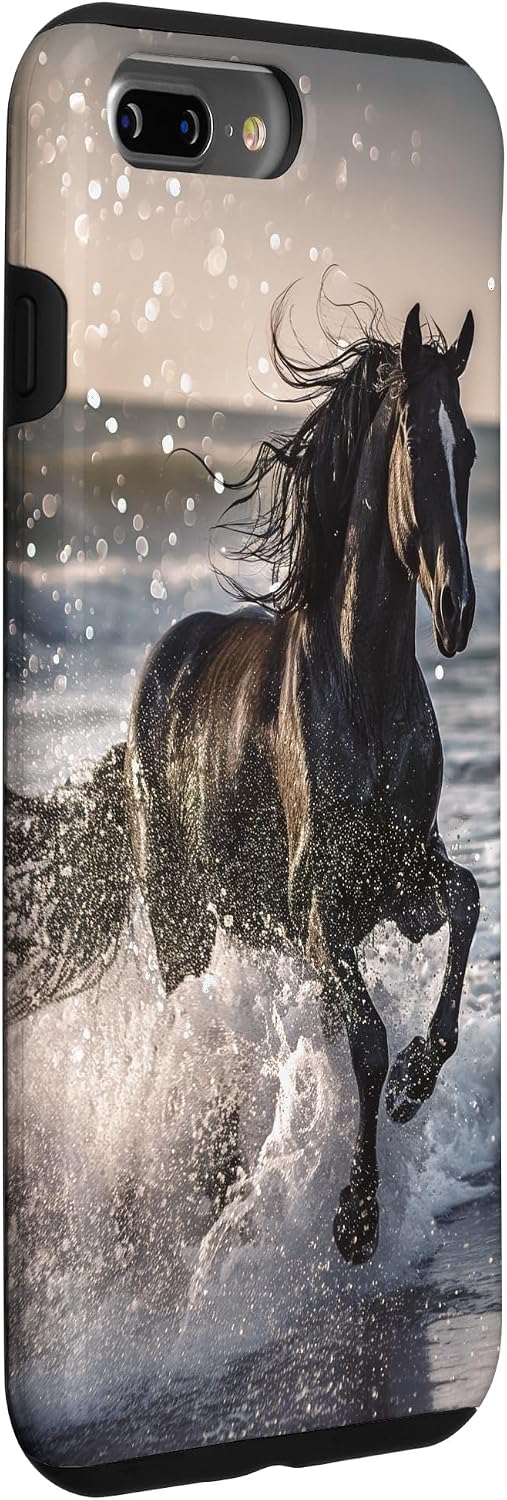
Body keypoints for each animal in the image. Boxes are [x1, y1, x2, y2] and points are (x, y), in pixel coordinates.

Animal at [122, 297, 480, 1263]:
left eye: (470, 448)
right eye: (415, 444)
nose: (458, 610)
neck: (363, 689)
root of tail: (165, 655)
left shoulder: (405, 881)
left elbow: (466, 901)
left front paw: (414, 1086)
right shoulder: (320, 910)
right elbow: (363, 1037)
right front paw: (355, 1216)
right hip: (179, 917)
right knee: (193, 1026)